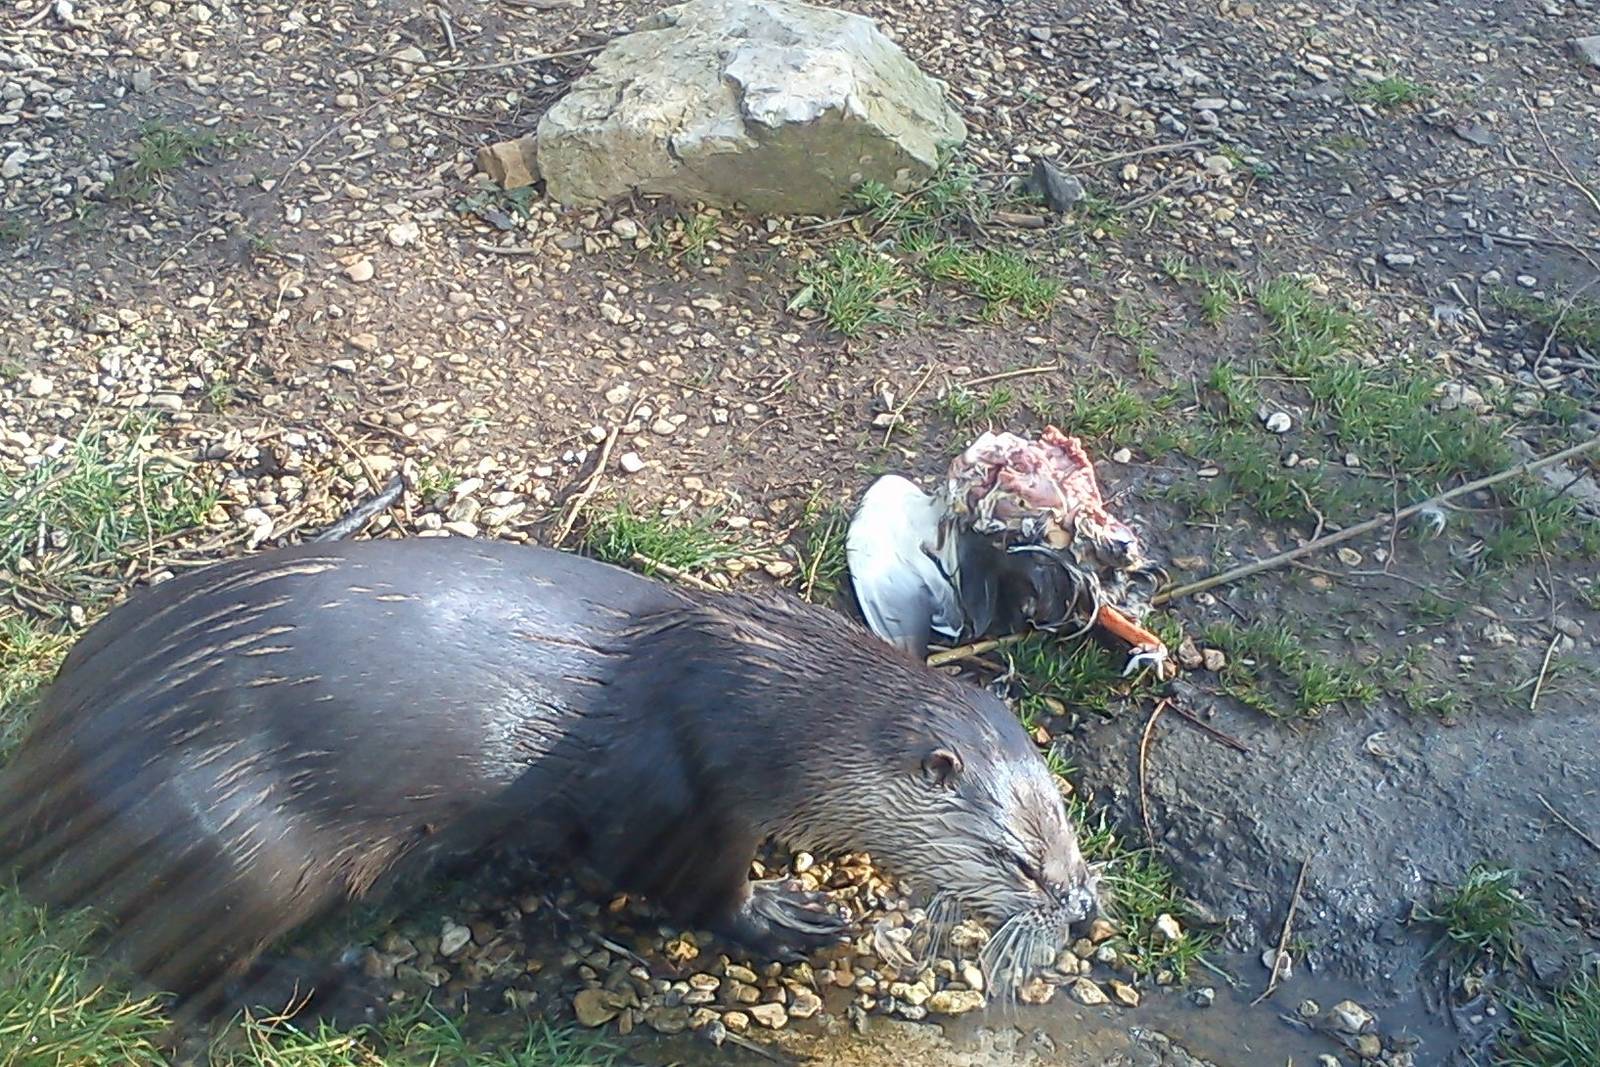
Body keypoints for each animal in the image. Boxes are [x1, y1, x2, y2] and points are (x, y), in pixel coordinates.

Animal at [0, 537, 1096, 1018]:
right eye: (1018, 859)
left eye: (1064, 820)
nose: (1081, 905)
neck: (743, 695)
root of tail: (37, 773)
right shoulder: (672, 800)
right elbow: (688, 888)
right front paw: (781, 916)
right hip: (229, 848)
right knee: (166, 970)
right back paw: (333, 986)